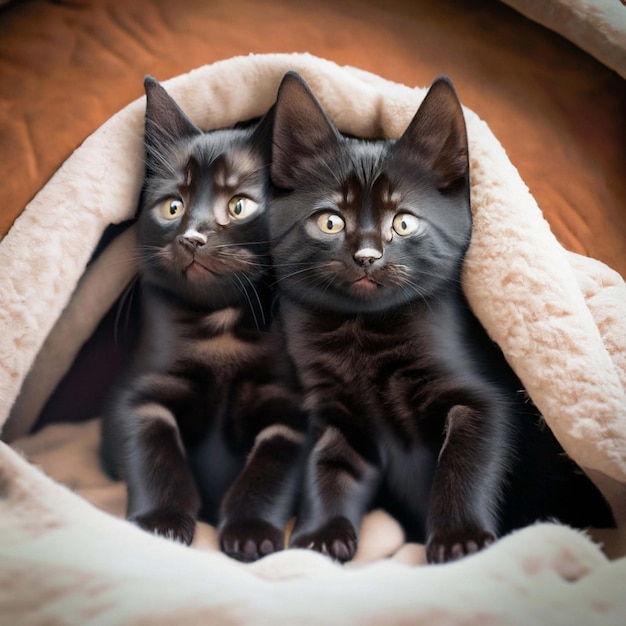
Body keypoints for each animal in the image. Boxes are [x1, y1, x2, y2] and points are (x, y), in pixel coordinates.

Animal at [99, 78, 304, 560]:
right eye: (172, 206)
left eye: (240, 206)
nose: (192, 237)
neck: (220, 331)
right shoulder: (138, 398)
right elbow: (155, 457)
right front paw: (161, 524)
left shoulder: (292, 414)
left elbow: (271, 468)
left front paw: (250, 530)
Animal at [266, 70, 612, 564]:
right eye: (331, 221)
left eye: (404, 222)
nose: (367, 256)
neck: (362, 333)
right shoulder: (335, 415)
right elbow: (326, 469)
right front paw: (321, 536)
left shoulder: (483, 402)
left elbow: (463, 466)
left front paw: (458, 539)